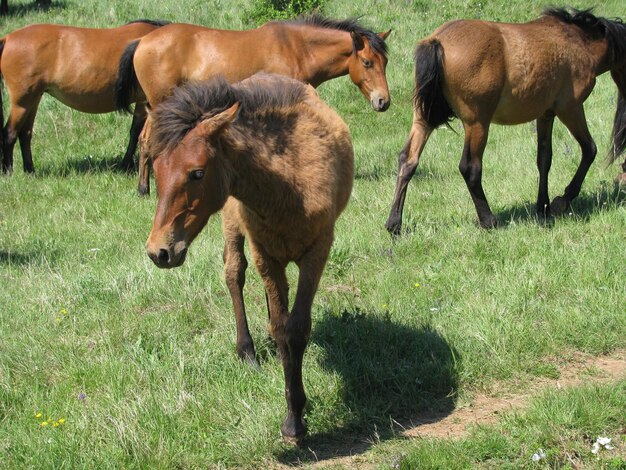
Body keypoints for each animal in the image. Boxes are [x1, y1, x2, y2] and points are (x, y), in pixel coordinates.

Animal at [0, 19, 167, 175]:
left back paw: (29, 170)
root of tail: (8, 38)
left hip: (33, 99)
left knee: (25, 134)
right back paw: (8, 171)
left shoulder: (142, 102)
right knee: (9, 133)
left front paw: (127, 164)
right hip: (22, 103)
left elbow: (134, 132)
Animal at [113, 14, 386, 195]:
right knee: (146, 140)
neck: (296, 48)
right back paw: (144, 188)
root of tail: (142, 41)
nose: (383, 101)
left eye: (385, 62)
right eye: (367, 62)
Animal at [144, 71, 354, 442]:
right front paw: (293, 415)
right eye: (156, 170)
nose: (160, 251)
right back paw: (247, 350)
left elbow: (295, 327)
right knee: (234, 273)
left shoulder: (317, 250)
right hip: (231, 222)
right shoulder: (264, 253)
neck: (287, 185)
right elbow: (281, 325)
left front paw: (295, 417)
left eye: (197, 172)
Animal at [382, 7, 624, 233]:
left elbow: (544, 159)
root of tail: (438, 40)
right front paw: (561, 201)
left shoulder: (545, 114)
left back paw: (394, 223)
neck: (578, 40)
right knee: (470, 168)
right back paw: (488, 220)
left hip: (423, 120)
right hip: (478, 124)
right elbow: (589, 150)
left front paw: (543, 206)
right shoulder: (570, 108)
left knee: (408, 160)